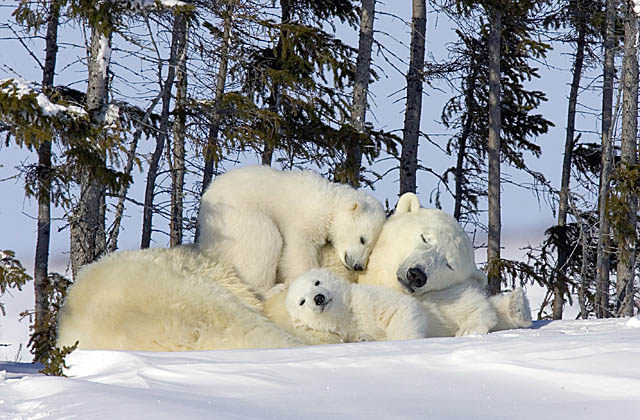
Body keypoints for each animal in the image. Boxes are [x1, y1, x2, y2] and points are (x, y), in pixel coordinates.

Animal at [198, 164, 384, 296]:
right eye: (363, 239)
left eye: (371, 248)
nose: (359, 266)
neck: (330, 202)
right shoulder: (307, 216)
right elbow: (298, 248)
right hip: (237, 218)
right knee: (264, 239)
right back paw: (272, 289)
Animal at [284, 270, 430, 342]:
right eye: (302, 301)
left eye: (317, 282)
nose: (319, 298)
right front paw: (364, 339)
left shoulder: (367, 299)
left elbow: (400, 308)